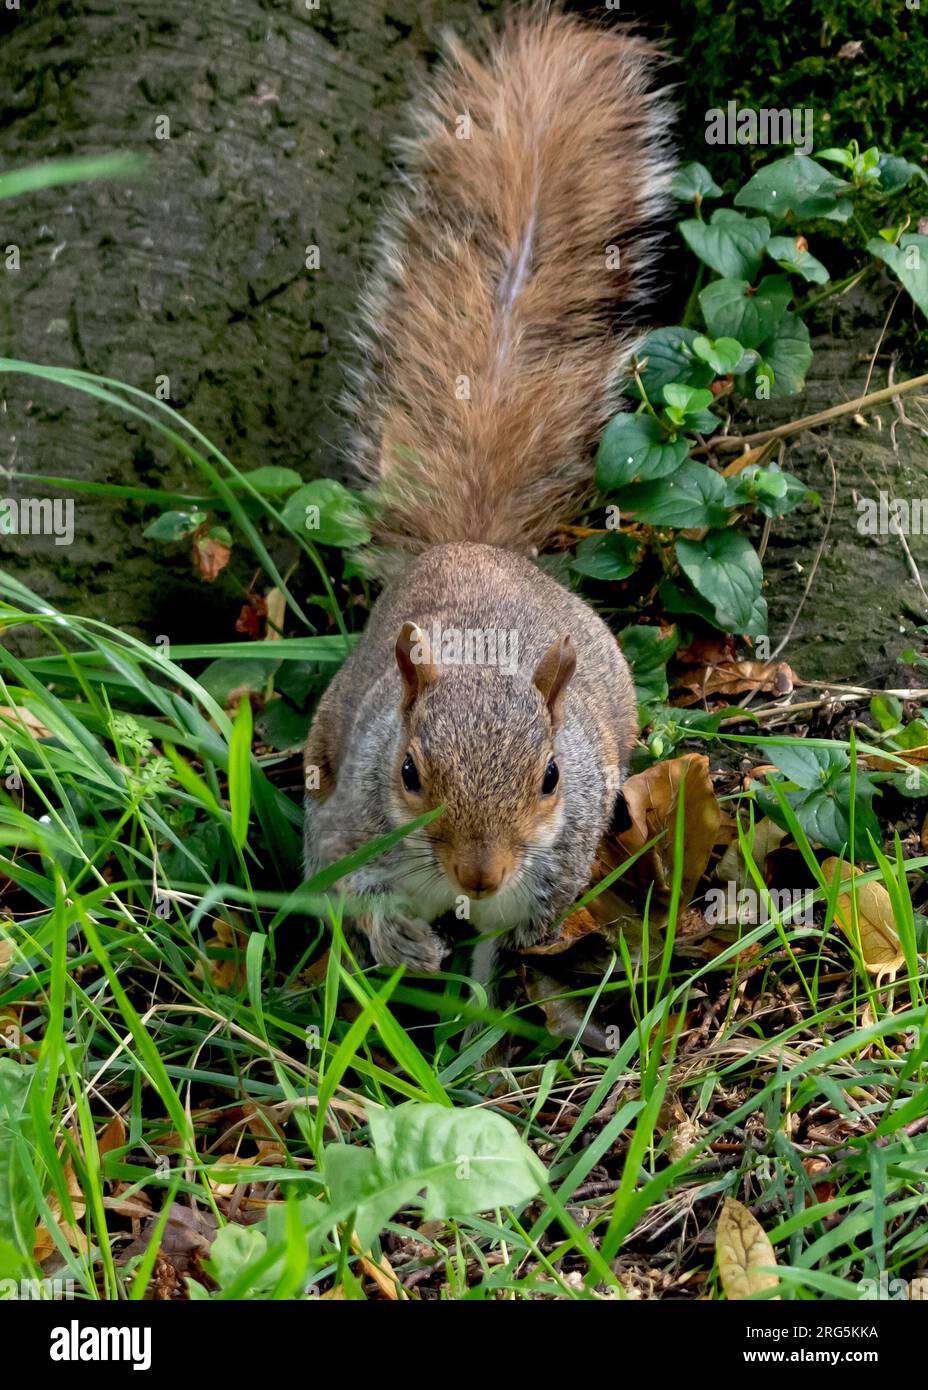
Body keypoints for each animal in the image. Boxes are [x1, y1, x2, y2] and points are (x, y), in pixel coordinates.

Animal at [303, 5, 673, 975]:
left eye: (550, 777)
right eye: (409, 773)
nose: (480, 874)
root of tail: (471, 546)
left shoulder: (561, 849)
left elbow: (516, 938)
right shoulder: (344, 823)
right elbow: (348, 893)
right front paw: (409, 946)